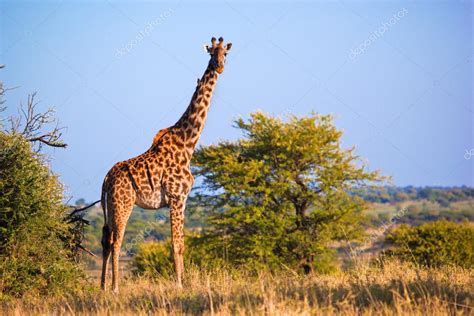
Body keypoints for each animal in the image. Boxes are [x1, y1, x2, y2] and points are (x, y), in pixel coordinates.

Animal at [101, 36, 232, 292]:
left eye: (226, 54)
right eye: (211, 52)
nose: (220, 67)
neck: (187, 144)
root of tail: (106, 178)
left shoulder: (182, 200)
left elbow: (181, 244)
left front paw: (184, 282)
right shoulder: (176, 198)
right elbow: (176, 244)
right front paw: (180, 285)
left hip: (109, 207)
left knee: (105, 240)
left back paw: (101, 287)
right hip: (123, 204)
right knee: (116, 242)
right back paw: (115, 288)